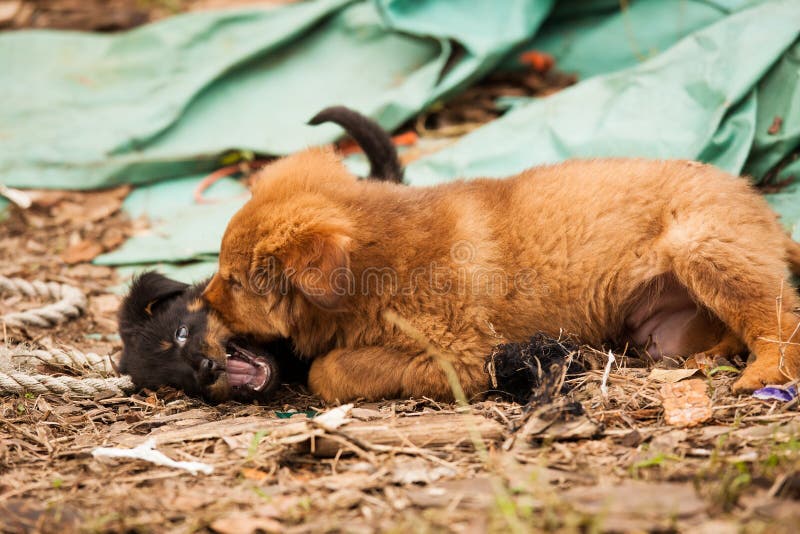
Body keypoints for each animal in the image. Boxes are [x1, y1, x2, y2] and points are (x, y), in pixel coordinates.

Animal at [203, 151, 800, 402]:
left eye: (234, 282)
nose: (201, 302)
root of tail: (764, 208)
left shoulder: (459, 355)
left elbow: (332, 370)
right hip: (661, 329)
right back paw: (712, 356)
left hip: (706, 249)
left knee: (781, 322)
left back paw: (761, 375)